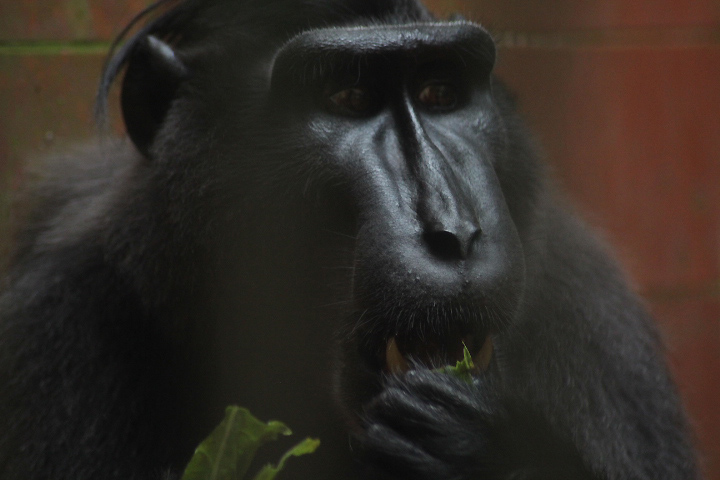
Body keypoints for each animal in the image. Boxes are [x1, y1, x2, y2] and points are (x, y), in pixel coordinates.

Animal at [0, 0, 699, 479]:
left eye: (439, 90)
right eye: (349, 96)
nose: (453, 231)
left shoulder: (593, 323)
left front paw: (480, 452)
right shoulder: (59, 324)